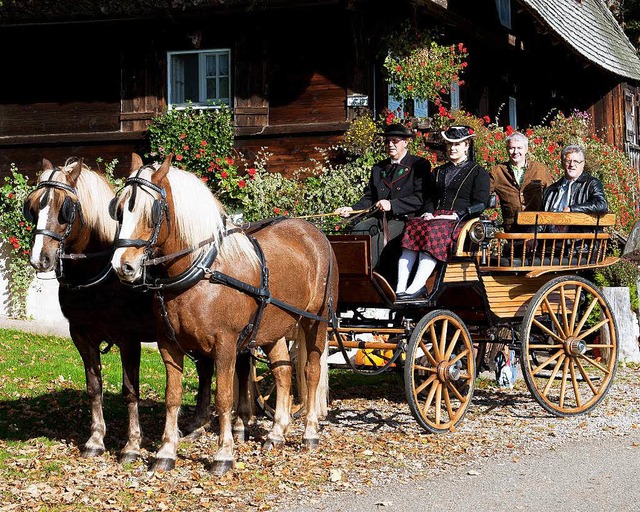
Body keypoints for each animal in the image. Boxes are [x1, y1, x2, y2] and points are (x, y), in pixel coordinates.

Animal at [24, 158, 215, 462]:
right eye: (32, 207)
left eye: (65, 208)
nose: (40, 259)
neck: (99, 274)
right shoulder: (81, 335)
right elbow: (94, 387)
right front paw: (95, 439)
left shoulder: (128, 339)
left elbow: (130, 391)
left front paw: (132, 445)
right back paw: (198, 423)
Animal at [110, 153, 338, 476]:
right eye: (118, 210)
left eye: (152, 211)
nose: (123, 266)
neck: (202, 271)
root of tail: (314, 234)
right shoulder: (168, 345)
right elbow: (172, 396)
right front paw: (166, 451)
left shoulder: (226, 345)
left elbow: (224, 398)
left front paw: (224, 454)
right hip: (274, 328)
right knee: (282, 372)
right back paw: (276, 433)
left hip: (315, 323)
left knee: (311, 371)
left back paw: (309, 433)